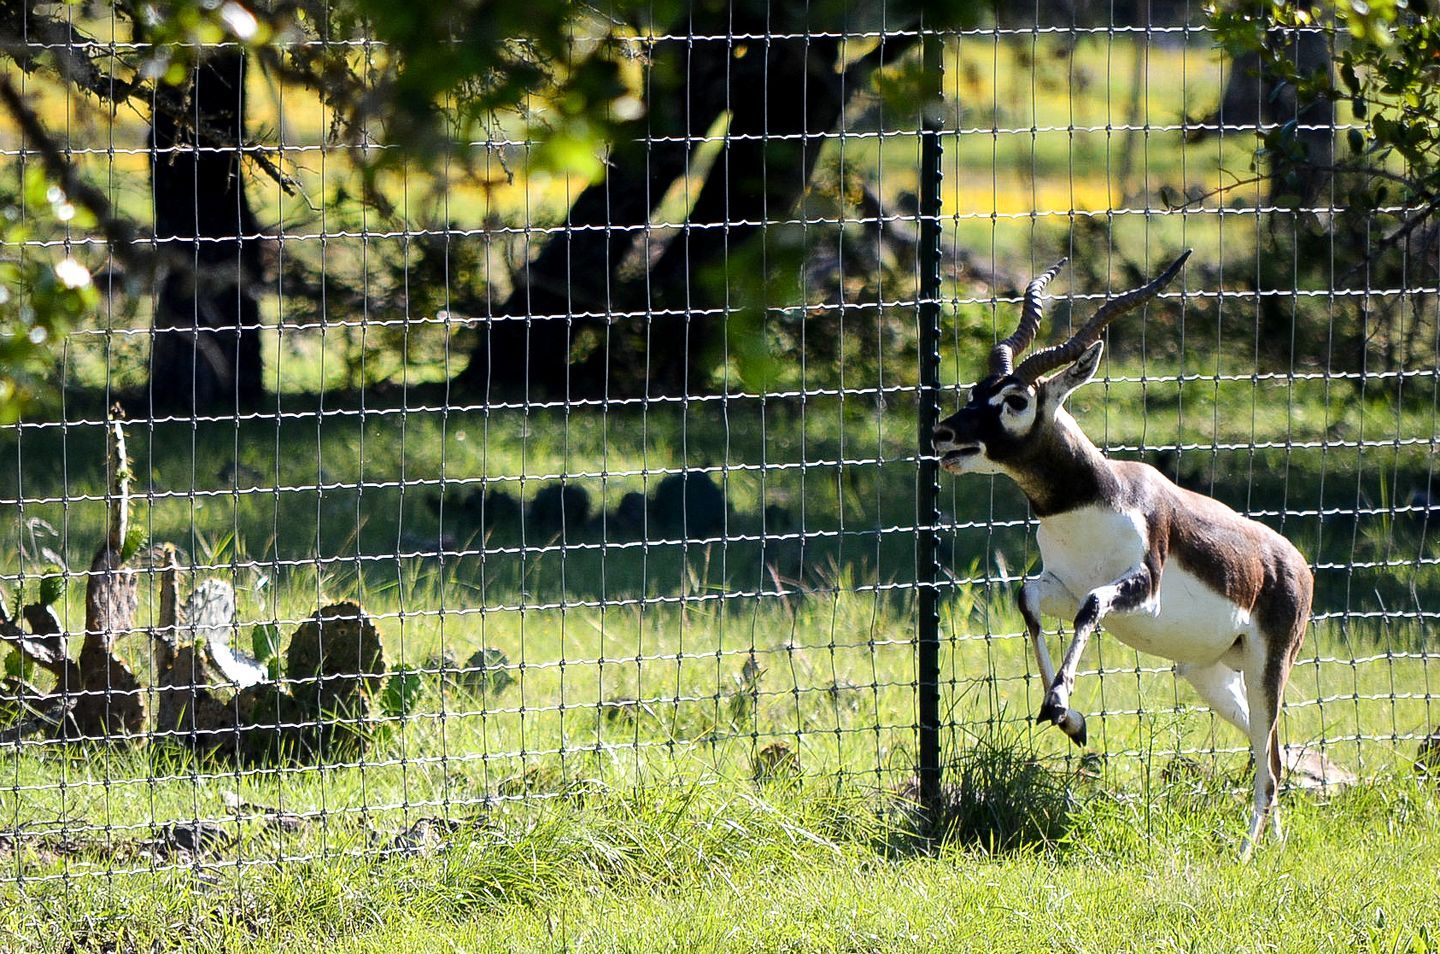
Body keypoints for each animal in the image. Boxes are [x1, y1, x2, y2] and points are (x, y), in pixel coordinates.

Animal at [932, 251, 1313, 858]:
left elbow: (1092, 606)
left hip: (1267, 666)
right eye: (975, 390)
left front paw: (1058, 706)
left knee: (1272, 767)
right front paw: (1073, 721)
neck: (1093, 498)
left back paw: (1246, 855)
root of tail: (1294, 563)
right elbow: (1027, 598)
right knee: (1271, 750)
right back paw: (1272, 846)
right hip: (1210, 674)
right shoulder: (1058, 583)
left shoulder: (1138, 588)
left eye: (1016, 400)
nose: (944, 434)